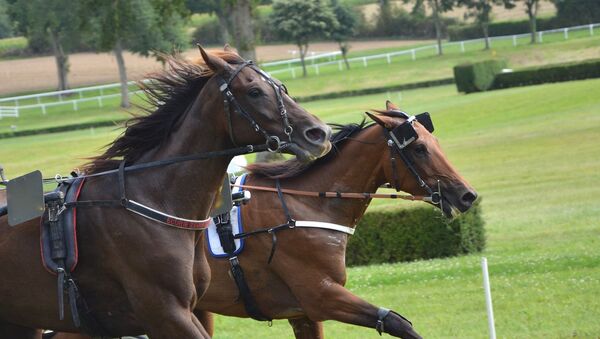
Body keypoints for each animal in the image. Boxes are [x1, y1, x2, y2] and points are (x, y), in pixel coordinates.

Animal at [0, 46, 332, 338]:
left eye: (280, 86)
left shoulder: (187, 309)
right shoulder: (164, 312)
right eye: (254, 92)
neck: (154, 199)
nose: (320, 134)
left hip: (20, 322)